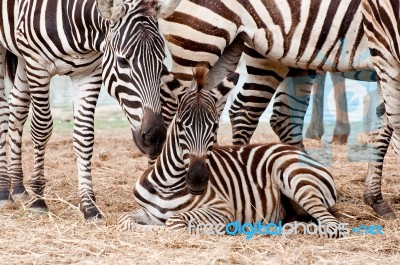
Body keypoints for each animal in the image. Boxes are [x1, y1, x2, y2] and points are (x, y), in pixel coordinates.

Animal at [0, 0, 181, 219]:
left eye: (161, 60)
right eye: (122, 61)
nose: (154, 137)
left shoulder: (89, 72)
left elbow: (84, 136)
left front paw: (88, 205)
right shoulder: (38, 65)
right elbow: (41, 129)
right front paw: (38, 201)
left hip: (21, 54)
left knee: (17, 105)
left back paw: (18, 187)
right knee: (3, 109)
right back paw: (3, 190)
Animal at [119, 67, 340, 237]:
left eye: (215, 127)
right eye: (181, 125)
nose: (198, 179)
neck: (167, 186)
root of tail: (301, 154)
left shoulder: (221, 208)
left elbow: (173, 222)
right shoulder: (144, 211)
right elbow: (124, 220)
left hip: (294, 178)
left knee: (333, 225)